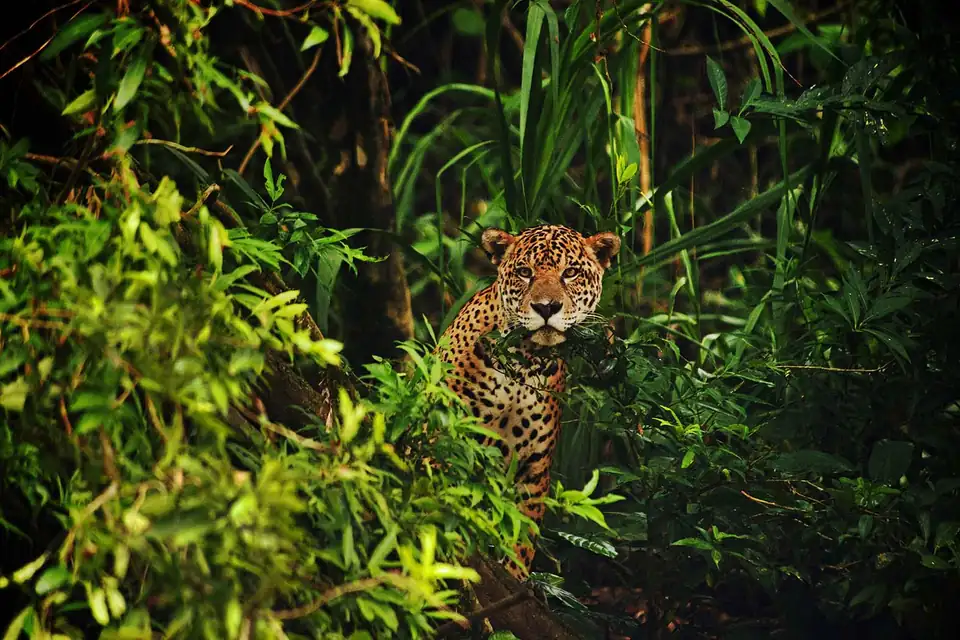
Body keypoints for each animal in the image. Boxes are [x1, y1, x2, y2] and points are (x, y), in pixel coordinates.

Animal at [437, 224, 620, 580]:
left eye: (570, 272)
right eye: (525, 272)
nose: (547, 307)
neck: (525, 360)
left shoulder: (534, 467)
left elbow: (522, 538)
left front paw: (516, 576)